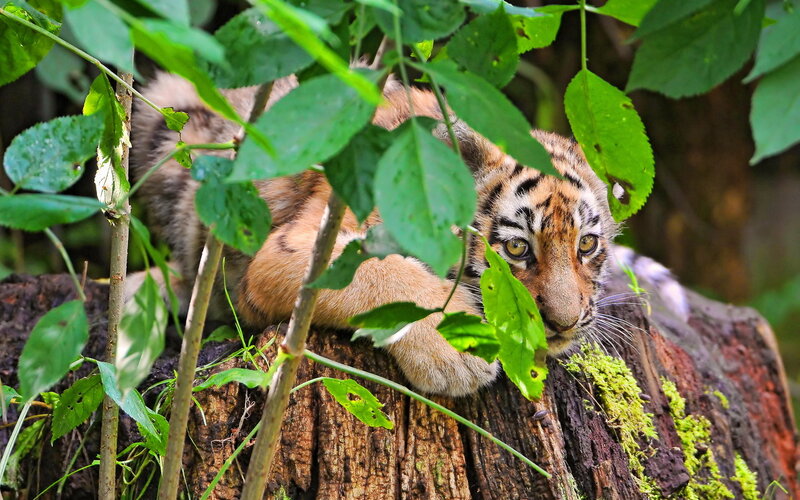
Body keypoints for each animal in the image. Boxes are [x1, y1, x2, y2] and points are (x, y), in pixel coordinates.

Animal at [130, 73, 688, 397]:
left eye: (586, 245)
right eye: (516, 248)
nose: (564, 323)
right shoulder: (291, 249)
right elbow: (377, 273)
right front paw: (458, 351)